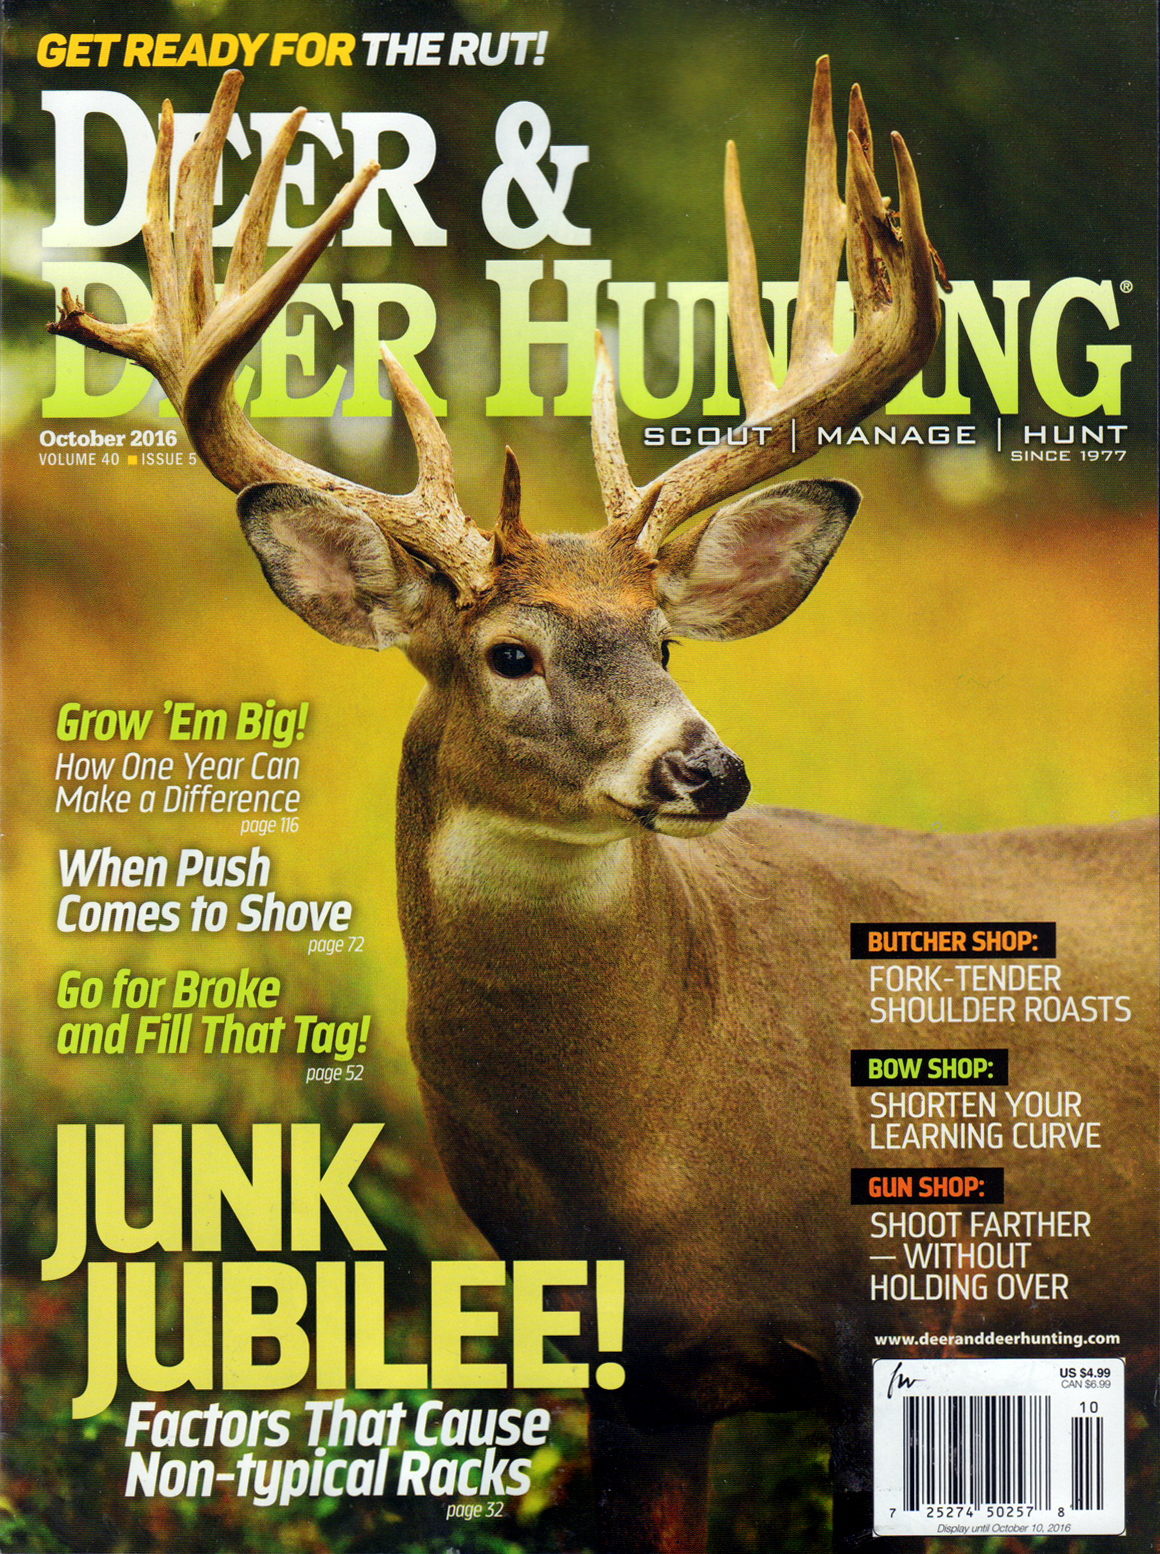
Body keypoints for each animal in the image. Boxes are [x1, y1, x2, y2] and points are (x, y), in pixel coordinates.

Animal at [49, 60, 1157, 1554]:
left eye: (665, 639)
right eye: (510, 652)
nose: (709, 769)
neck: (640, 1156)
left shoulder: (925, 1307)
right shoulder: (631, 1377)